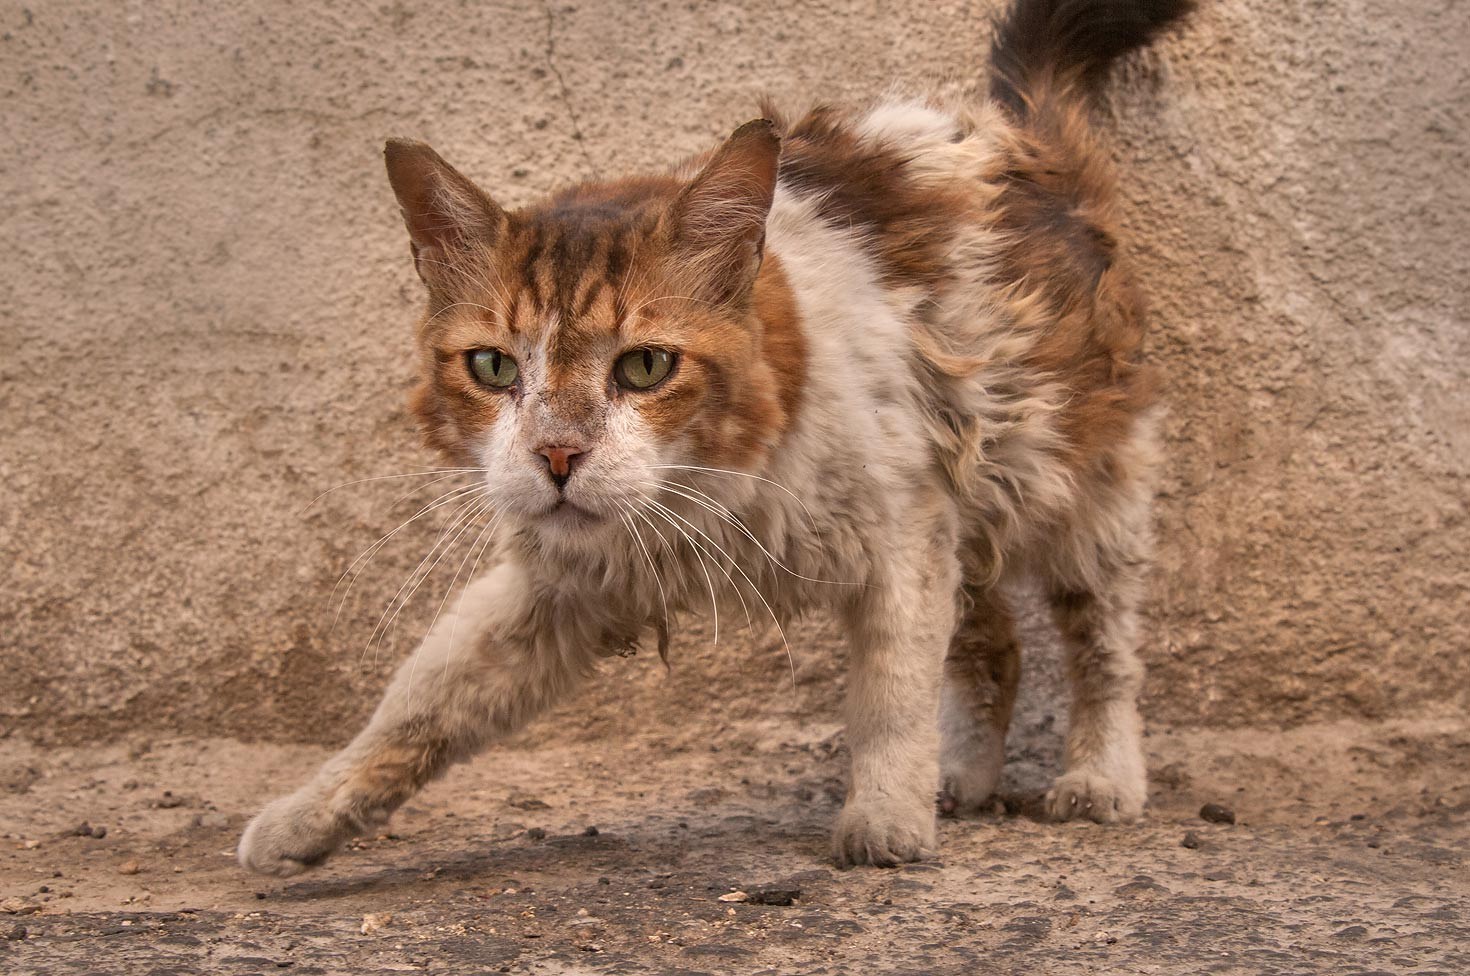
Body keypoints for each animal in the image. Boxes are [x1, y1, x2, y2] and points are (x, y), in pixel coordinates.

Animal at [241, 0, 1193, 870]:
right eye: (493, 367)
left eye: (644, 367)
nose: (556, 456)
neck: (706, 490)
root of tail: (1012, 131)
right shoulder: (555, 587)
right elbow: (418, 704)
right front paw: (301, 818)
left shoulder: (902, 535)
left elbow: (890, 696)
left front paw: (886, 820)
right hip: (970, 495)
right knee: (994, 647)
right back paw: (961, 775)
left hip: (1085, 491)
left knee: (1102, 651)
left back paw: (1099, 778)